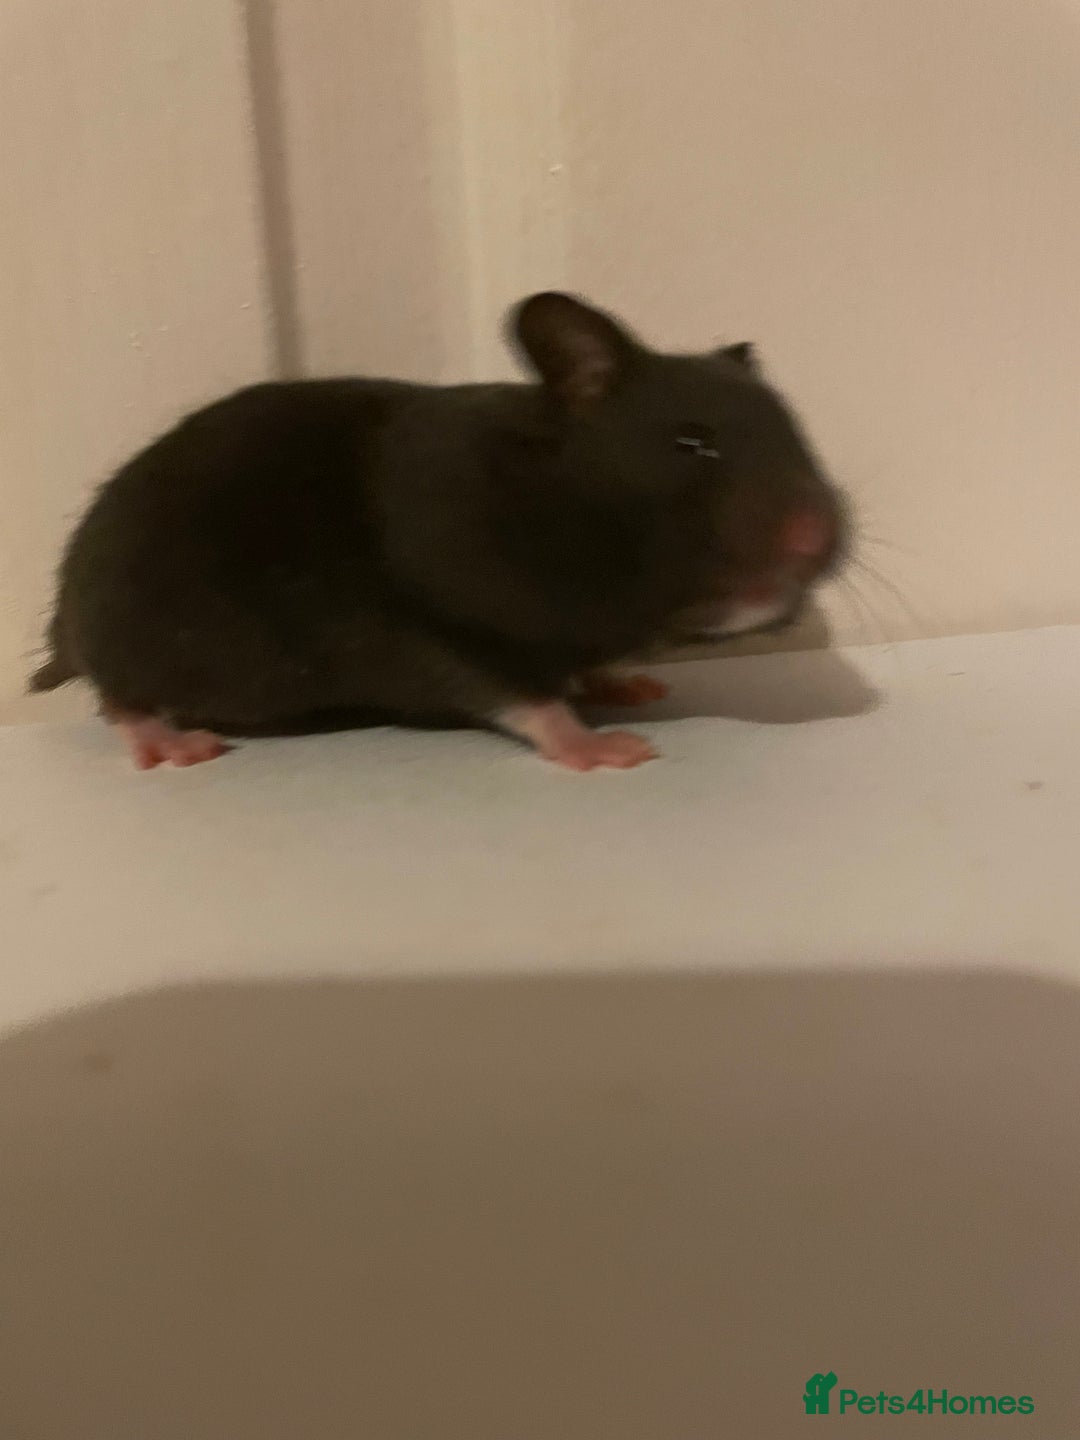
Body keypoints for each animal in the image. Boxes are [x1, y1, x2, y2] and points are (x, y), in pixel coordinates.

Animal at [30, 292, 848, 771]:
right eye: (690, 443)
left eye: (796, 429)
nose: (816, 540)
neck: (560, 508)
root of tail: (63, 621)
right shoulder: (436, 626)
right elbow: (520, 697)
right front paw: (616, 748)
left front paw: (631, 685)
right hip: (149, 630)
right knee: (118, 697)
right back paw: (181, 745)